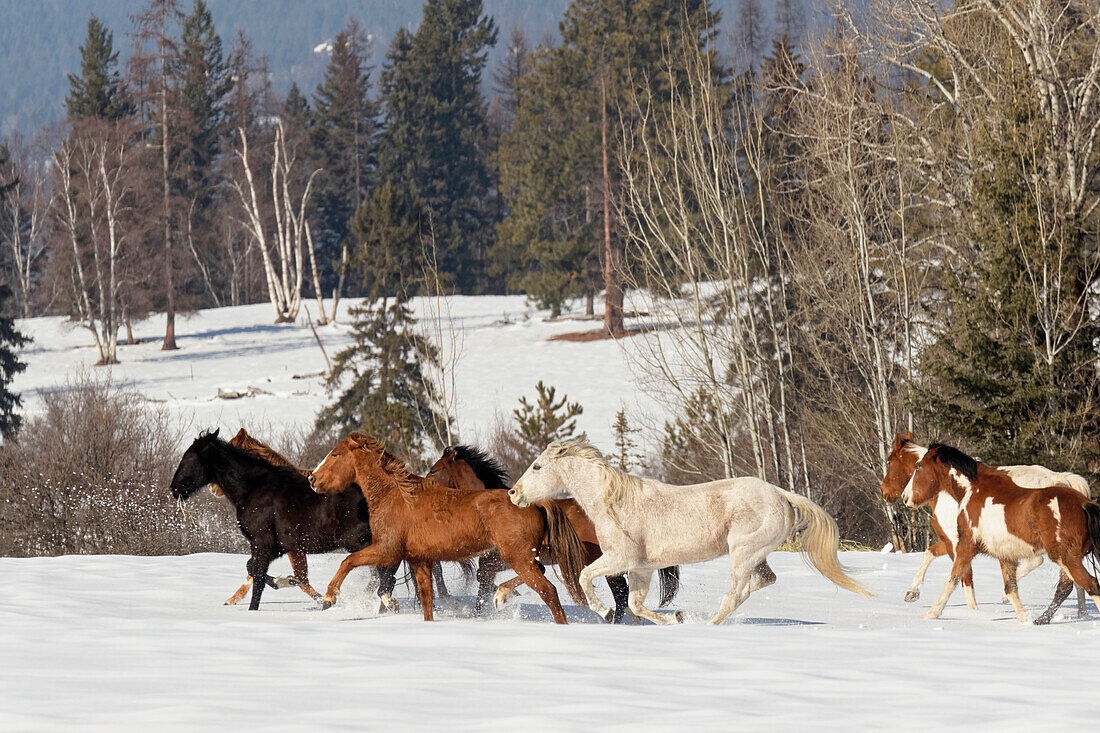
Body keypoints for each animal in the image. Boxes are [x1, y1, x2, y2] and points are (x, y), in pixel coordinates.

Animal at [169, 429, 380, 611]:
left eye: (188, 457)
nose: (174, 488)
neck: (253, 487)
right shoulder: (279, 547)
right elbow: (256, 569)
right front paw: (284, 581)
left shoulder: (263, 542)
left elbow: (259, 577)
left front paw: (253, 608)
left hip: (360, 543)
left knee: (377, 576)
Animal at [310, 431, 589, 625]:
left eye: (335, 454)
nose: (312, 478)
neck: (396, 497)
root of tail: (536, 502)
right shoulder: (419, 560)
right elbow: (427, 600)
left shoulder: (387, 550)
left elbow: (348, 561)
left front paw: (328, 599)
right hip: (521, 558)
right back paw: (502, 595)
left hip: (517, 557)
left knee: (549, 591)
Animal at [426, 442, 677, 620]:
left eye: (433, 470)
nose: (425, 483)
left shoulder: (498, 562)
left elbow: (485, 588)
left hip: (611, 567)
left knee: (622, 599)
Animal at [508, 435, 875, 625]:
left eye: (537, 466)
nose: (513, 493)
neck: (614, 503)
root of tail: (781, 494)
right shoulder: (641, 568)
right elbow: (637, 605)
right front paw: (673, 619)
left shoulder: (619, 559)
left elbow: (586, 578)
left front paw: (604, 610)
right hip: (755, 555)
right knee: (763, 581)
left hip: (742, 554)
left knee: (737, 593)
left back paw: (710, 625)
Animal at [880, 429, 1086, 611]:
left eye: (889, 461)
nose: (885, 492)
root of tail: (1060, 479)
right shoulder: (950, 541)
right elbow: (929, 553)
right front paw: (912, 592)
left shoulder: (956, 544)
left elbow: (965, 579)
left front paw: (974, 612)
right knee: (1074, 581)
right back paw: (1081, 613)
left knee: (1044, 566)